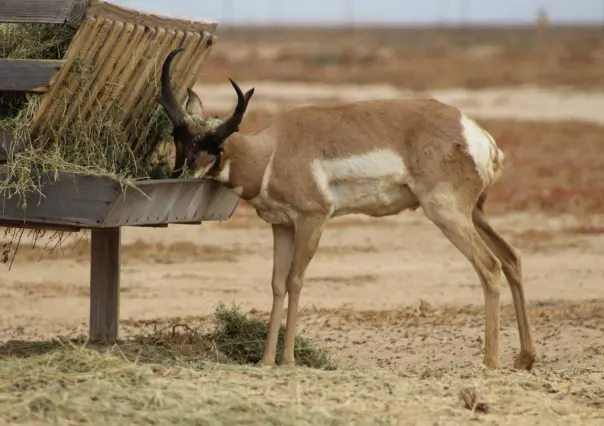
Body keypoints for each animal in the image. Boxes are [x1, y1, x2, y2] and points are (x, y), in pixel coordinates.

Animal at [157, 48, 536, 372]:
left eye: (215, 144)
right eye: (179, 136)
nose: (179, 177)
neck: (274, 150)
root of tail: (477, 135)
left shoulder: (313, 221)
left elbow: (295, 280)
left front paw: (288, 360)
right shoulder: (282, 226)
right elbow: (277, 283)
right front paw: (265, 360)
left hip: (447, 214)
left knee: (488, 265)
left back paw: (490, 362)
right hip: (475, 214)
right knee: (511, 258)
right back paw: (525, 358)